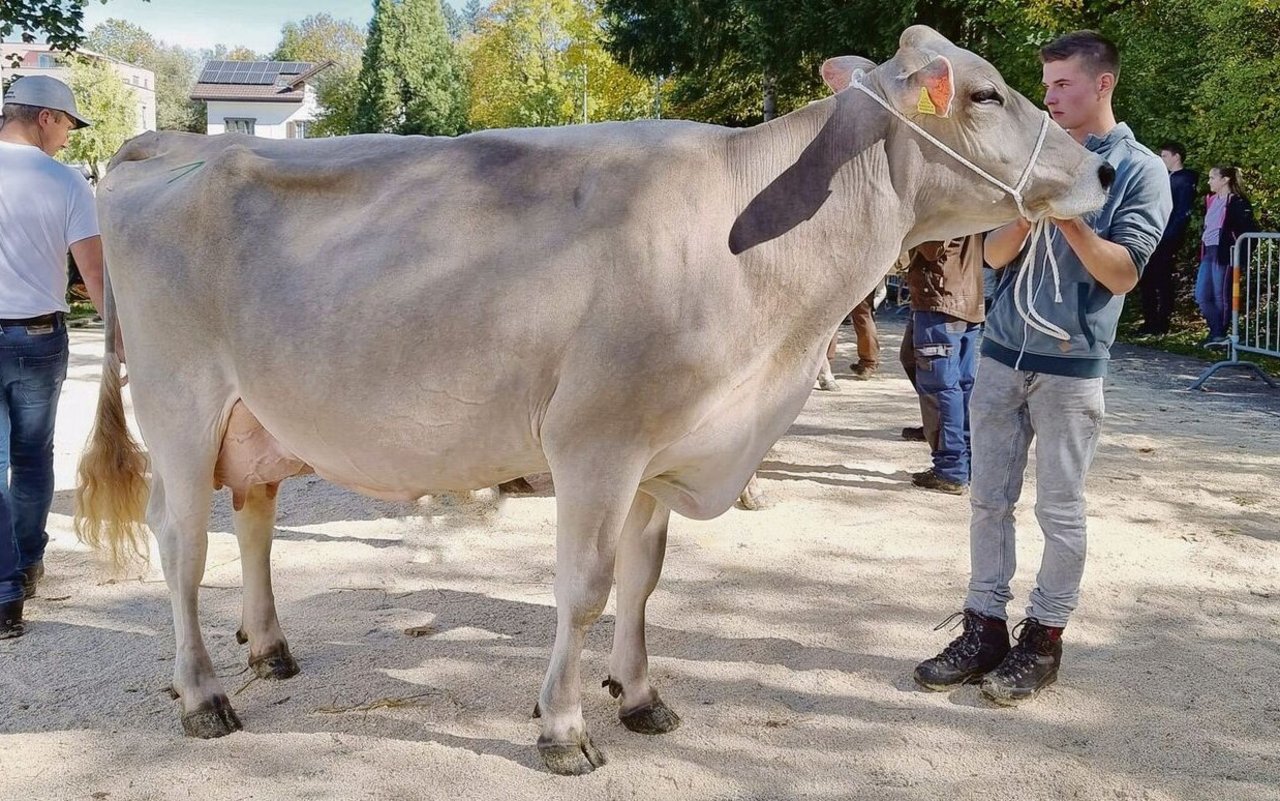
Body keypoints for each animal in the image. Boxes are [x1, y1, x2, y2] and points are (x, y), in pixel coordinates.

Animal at [74, 26, 1111, 772]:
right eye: (986, 94)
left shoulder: (665, 449)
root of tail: (157, 144)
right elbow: (585, 587)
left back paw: (270, 649)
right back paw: (205, 695)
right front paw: (564, 726)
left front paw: (641, 695)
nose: (1101, 169)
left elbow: (643, 582)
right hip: (179, 405)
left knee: (253, 513)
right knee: (183, 546)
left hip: (255, 415)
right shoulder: (594, 444)